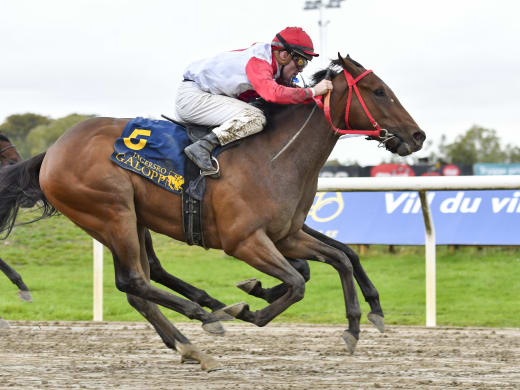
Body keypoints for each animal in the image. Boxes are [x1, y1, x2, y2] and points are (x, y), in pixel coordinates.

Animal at [0, 54, 424, 368]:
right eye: (378, 91)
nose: (417, 135)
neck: (273, 157)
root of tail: (51, 153)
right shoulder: (245, 241)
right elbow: (298, 282)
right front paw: (247, 308)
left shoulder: (287, 234)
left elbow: (340, 258)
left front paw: (356, 324)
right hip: (111, 213)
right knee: (134, 282)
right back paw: (208, 317)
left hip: (132, 220)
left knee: (139, 286)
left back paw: (191, 342)